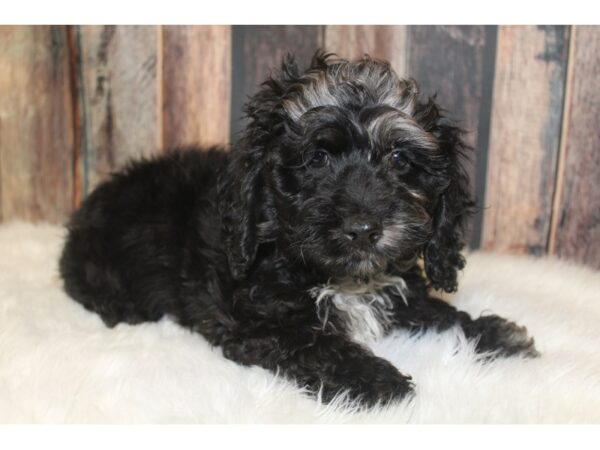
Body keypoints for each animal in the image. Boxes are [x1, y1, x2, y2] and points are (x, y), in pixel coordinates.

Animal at [59, 52, 540, 408]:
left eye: (400, 160)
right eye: (316, 160)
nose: (363, 229)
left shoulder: (401, 291)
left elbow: (437, 312)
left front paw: (493, 334)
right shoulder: (255, 324)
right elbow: (316, 343)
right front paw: (374, 377)